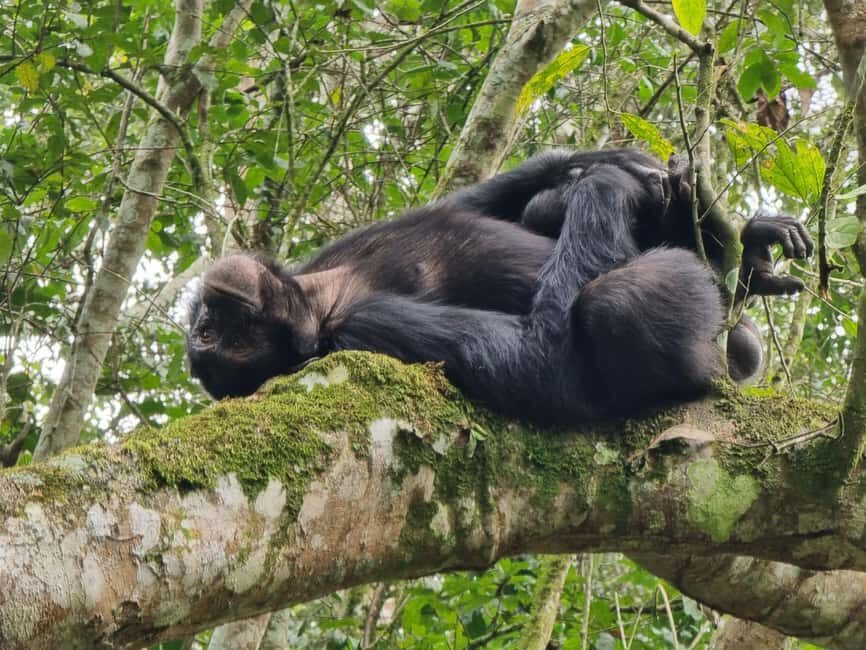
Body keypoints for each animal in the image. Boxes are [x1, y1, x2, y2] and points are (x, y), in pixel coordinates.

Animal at [187, 149, 812, 423]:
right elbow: (545, 360)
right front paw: (611, 177)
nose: (206, 320)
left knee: (543, 206)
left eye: (210, 329)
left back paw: (747, 249)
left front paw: (613, 159)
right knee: (618, 304)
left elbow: (472, 201)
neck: (323, 296)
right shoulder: (370, 330)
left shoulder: (339, 247)